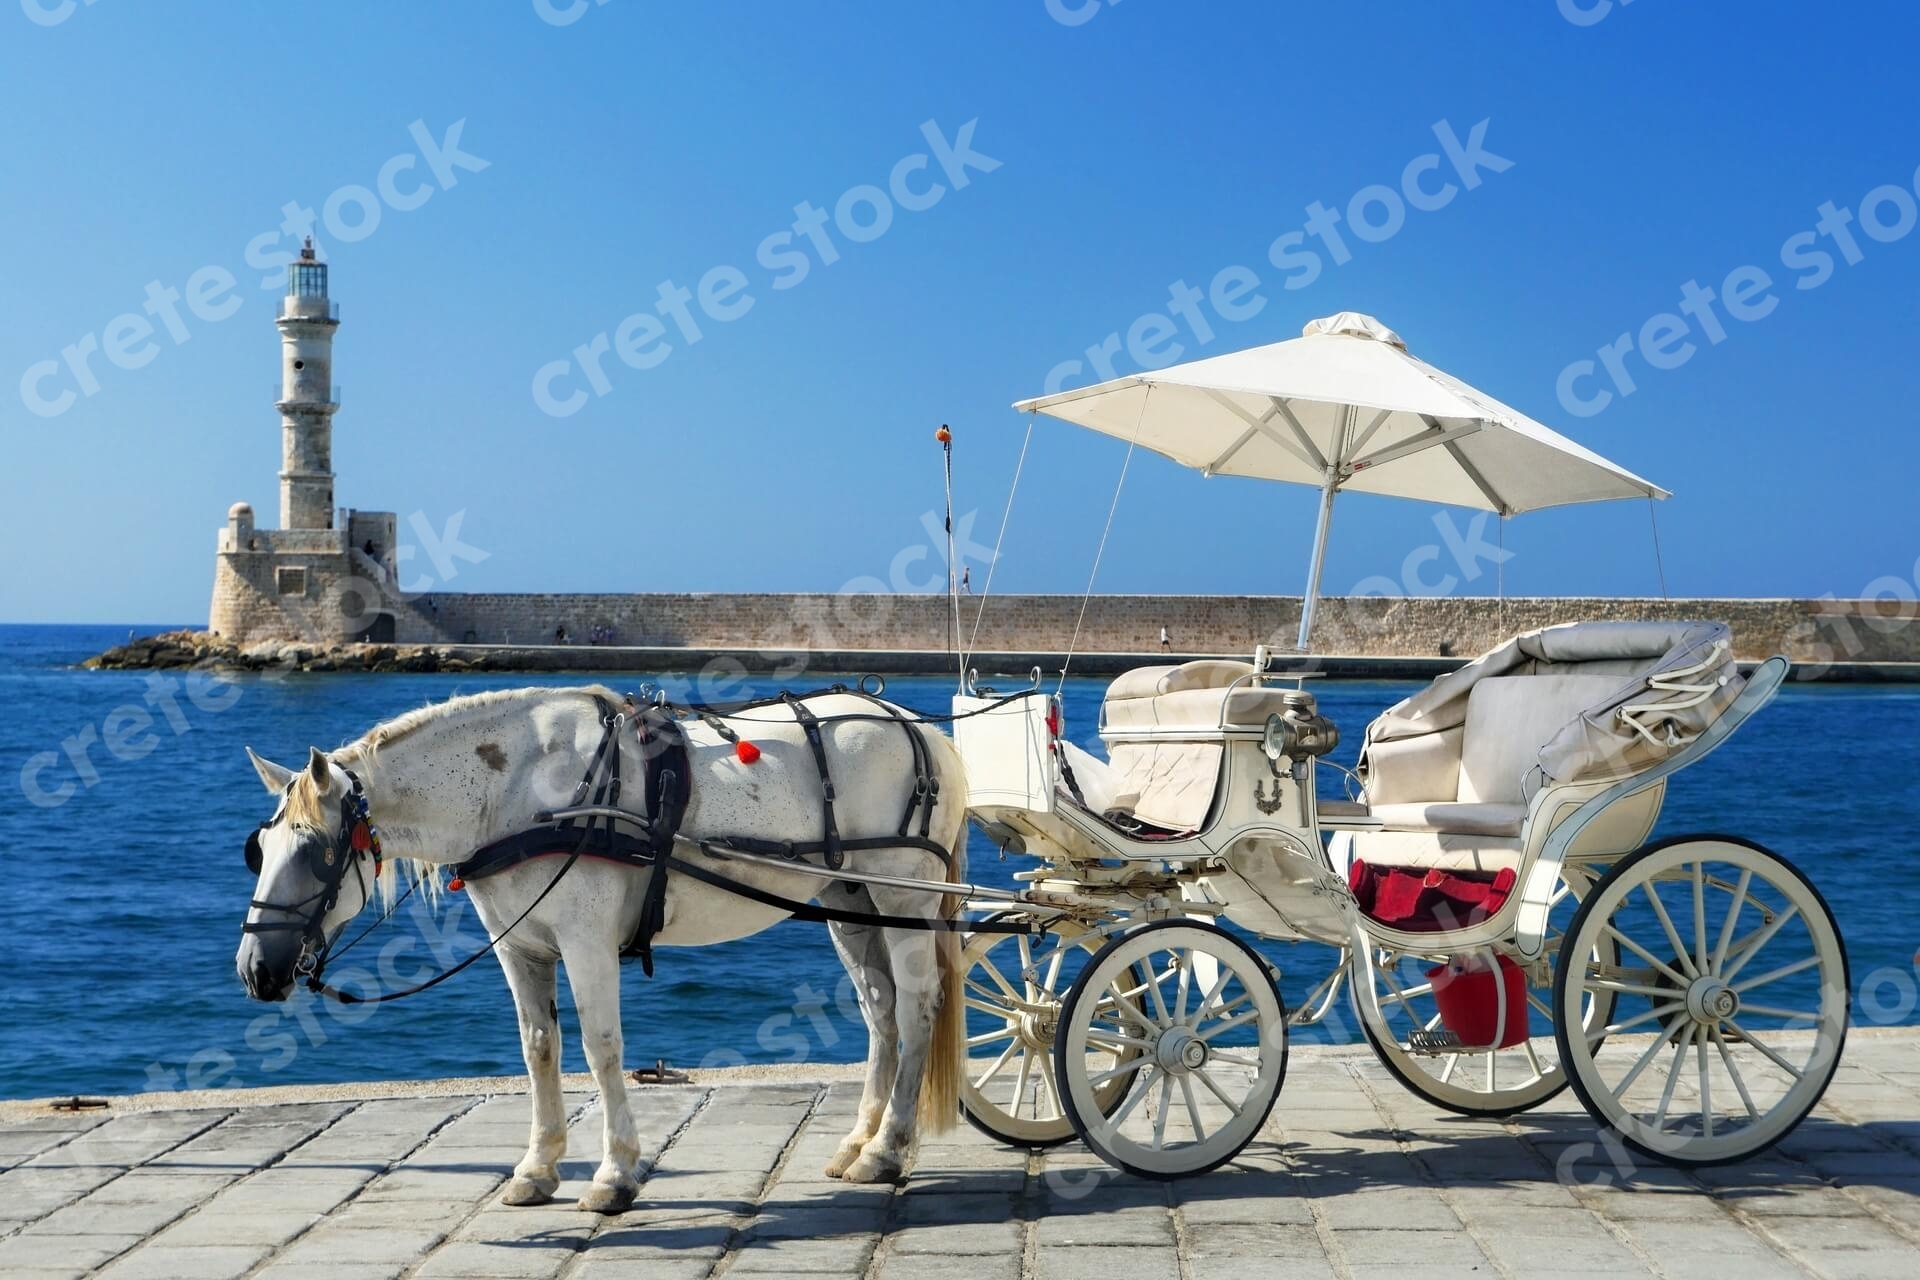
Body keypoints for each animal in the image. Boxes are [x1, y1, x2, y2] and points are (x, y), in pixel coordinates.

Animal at [232, 687, 967, 1205]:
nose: (256, 970)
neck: (520, 788)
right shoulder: (520, 947)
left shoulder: (585, 941)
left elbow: (600, 1047)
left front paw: (615, 1173)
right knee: (881, 1014)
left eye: (317, 852)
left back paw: (888, 1149)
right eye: (258, 850)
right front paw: (538, 1166)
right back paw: (859, 1141)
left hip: (903, 898)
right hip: (849, 901)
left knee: (915, 1009)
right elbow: (539, 1047)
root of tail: (921, 728)